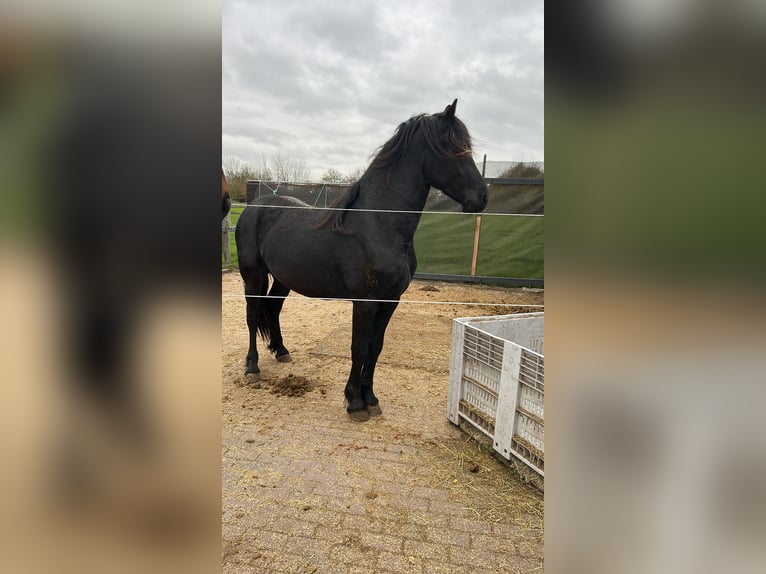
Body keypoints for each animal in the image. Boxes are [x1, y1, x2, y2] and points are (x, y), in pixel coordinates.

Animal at [235, 99, 488, 421]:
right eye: (452, 147)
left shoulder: (390, 300)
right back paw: (252, 367)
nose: (482, 197)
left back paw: (281, 351)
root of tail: (253, 207)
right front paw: (355, 403)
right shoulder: (365, 301)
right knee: (253, 315)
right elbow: (358, 347)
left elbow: (375, 347)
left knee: (273, 309)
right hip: (252, 275)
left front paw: (371, 399)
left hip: (282, 279)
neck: (379, 224)